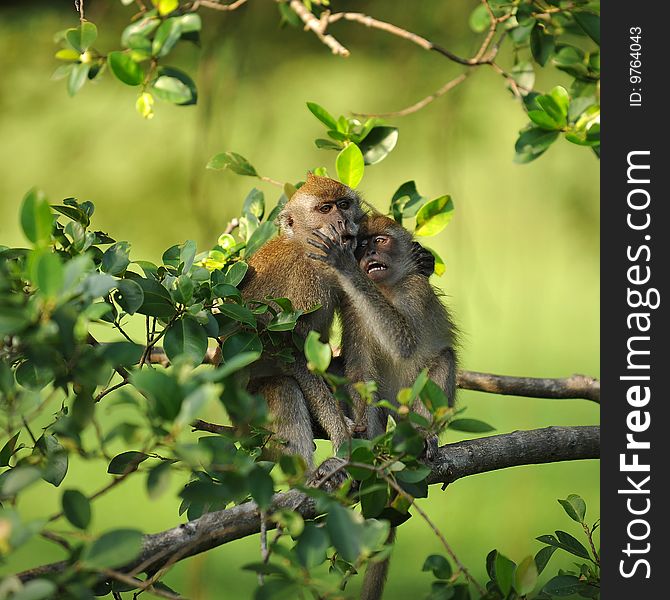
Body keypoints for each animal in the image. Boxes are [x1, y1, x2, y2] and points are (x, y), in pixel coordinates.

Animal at [240, 173, 368, 474]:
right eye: (325, 209)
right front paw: (340, 435)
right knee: (282, 387)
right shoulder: (303, 281)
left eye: (343, 205)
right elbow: (292, 350)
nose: (342, 221)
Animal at [308, 213, 460, 596]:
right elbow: (361, 371)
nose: (368, 254)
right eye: (362, 244)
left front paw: (344, 266)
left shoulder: (415, 292)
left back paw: (421, 439)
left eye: (379, 241)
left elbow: (405, 342)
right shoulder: (353, 309)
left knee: (442, 360)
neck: (386, 289)